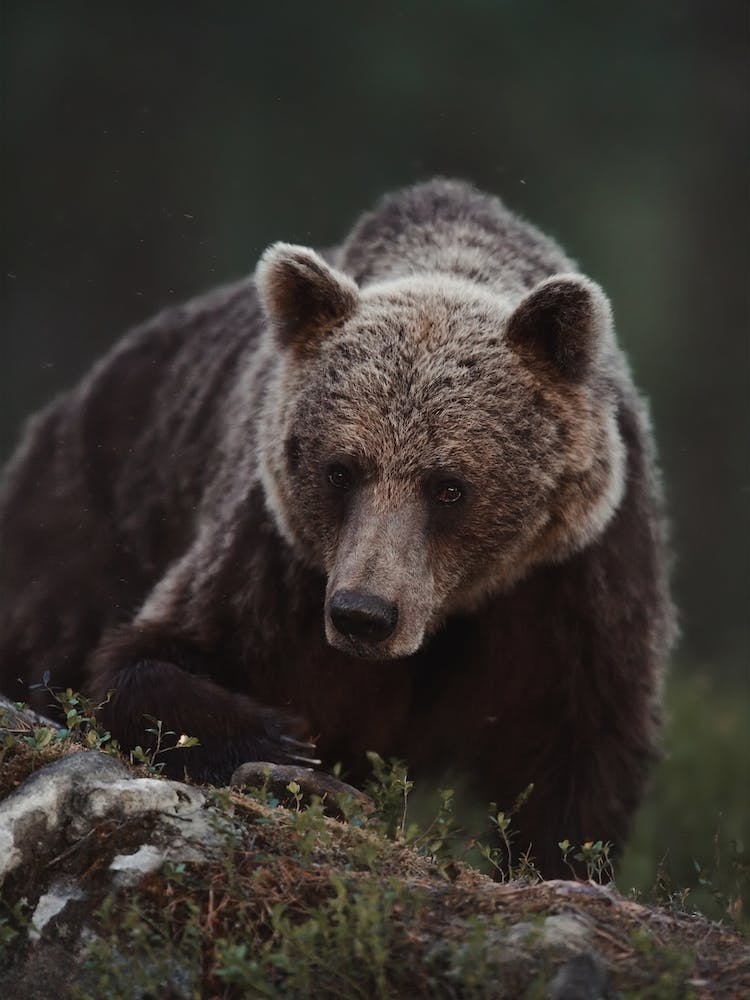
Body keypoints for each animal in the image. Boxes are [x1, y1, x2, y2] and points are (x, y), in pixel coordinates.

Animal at [0, 179, 674, 878]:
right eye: (340, 471)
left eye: (449, 486)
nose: (363, 615)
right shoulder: (276, 561)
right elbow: (140, 662)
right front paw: (287, 746)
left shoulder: (573, 579)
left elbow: (579, 747)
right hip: (87, 509)